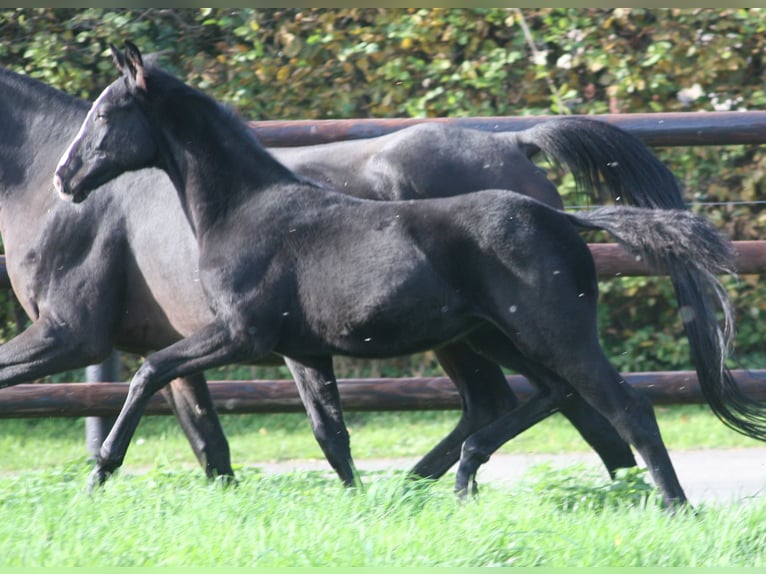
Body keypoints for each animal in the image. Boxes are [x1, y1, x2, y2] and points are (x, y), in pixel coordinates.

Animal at [51, 41, 764, 508]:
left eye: (105, 115)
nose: (63, 177)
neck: (249, 211)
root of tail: (563, 217)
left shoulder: (241, 334)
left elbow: (148, 370)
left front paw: (97, 474)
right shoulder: (303, 350)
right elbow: (331, 434)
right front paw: (359, 506)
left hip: (551, 333)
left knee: (624, 405)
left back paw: (673, 505)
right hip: (496, 336)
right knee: (550, 396)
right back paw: (464, 477)